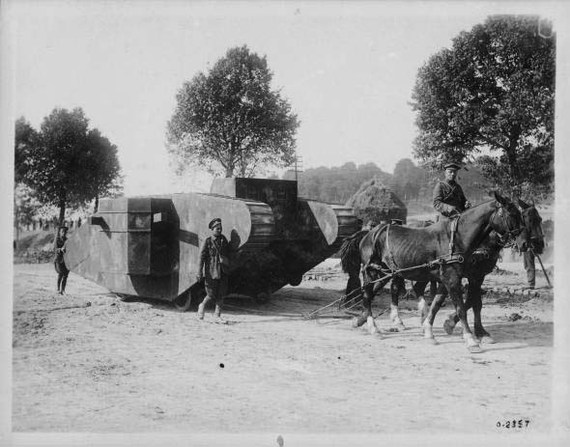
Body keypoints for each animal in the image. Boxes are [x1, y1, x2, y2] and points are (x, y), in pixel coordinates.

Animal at [338, 192, 524, 354]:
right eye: (511, 213)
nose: (522, 242)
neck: (456, 239)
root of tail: (369, 233)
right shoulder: (454, 279)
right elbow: (461, 307)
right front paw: (471, 340)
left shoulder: (450, 279)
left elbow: (438, 303)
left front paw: (429, 330)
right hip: (371, 271)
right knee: (367, 296)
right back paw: (374, 328)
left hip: (389, 272)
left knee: (377, 293)